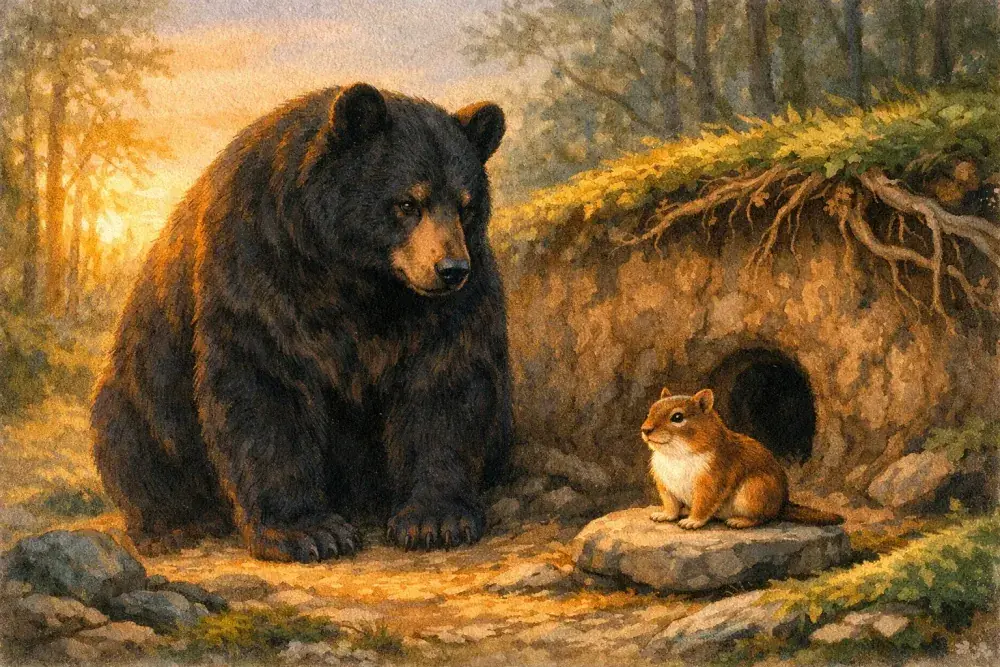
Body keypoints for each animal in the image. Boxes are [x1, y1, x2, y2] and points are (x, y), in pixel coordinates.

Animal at [640, 387, 843, 530]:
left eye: (677, 417)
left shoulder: (712, 483)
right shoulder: (665, 485)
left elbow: (703, 505)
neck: (676, 455)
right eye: (650, 411)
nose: (645, 429)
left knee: (763, 518)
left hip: (753, 491)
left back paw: (739, 521)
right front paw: (664, 515)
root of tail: (782, 504)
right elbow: (671, 505)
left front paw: (692, 522)